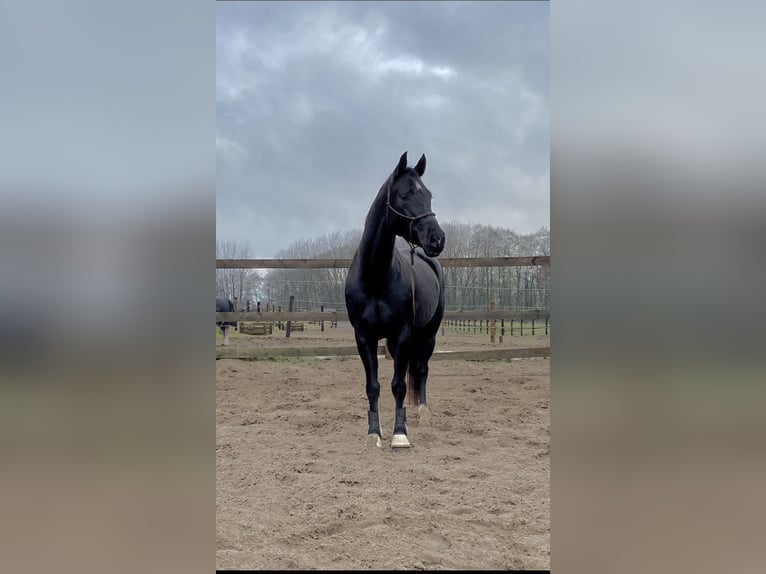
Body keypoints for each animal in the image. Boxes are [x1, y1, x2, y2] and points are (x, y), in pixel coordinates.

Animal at [345, 151, 446, 448]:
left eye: (429, 195)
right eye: (404, 195)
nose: (437, 239)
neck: (376, 276)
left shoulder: (402, 333)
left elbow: (399, 385)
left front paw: (399, 434)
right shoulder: (364, 337)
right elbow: (374, 386)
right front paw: (373, 434)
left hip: (427, 335)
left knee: (421, 370)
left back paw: (422, 414)